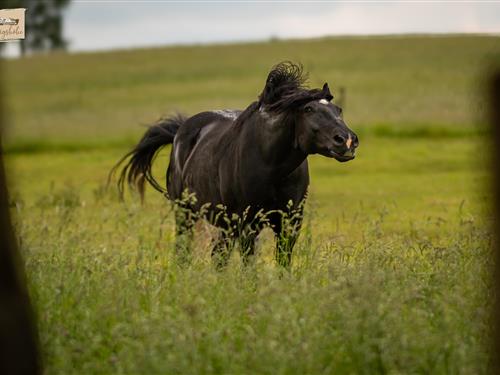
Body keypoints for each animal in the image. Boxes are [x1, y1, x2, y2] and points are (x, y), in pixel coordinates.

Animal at [112, 62, 358, 268]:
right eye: (308, 109)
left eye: (339, 110)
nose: (347, 140)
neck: (271, 167)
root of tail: (179, 131)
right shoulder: (247, 224)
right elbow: (248, 265)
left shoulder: (289, 224)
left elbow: (282, 263)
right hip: (185, 213)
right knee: (184, 250)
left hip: (224, 224)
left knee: (218, 256)